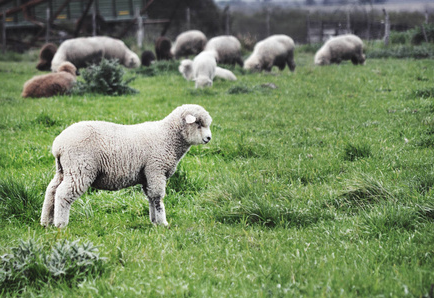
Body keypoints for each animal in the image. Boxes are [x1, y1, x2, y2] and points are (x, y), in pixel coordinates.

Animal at [39, 103, 213, 227]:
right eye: (198, 123)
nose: (208, 138)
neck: (168, 136)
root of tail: (58, 145)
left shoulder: (147, 175)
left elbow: (150, 197)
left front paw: (154, 221)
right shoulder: (156, 169)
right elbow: (157, 198)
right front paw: (163, 222)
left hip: (64, 170)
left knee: (51, 191)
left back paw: (46, 221)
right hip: (80, 168)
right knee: (62, 194)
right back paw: (61, 224)